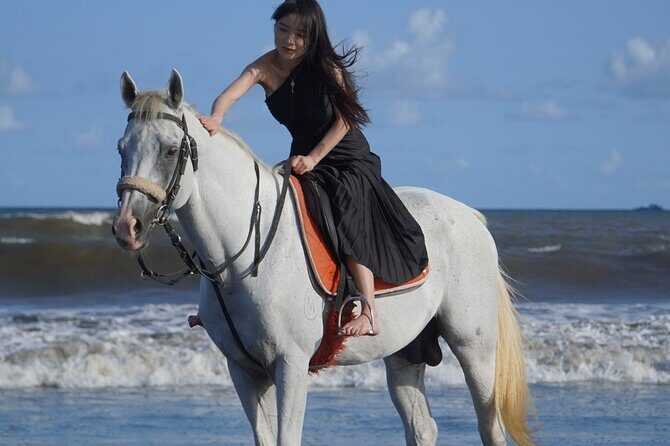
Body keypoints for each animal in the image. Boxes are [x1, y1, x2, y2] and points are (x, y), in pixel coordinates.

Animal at [112, 69, 534, 446]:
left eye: (170, 150)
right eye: (121, 148)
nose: (127, 227)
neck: (244, 259)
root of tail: (471, 217)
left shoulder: (291, 364)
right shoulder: (244, 371)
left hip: (475, 348)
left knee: (490, 427)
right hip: (405, 351)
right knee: (422, 429)